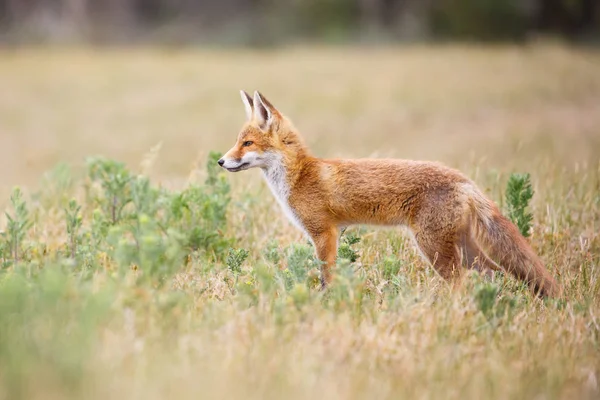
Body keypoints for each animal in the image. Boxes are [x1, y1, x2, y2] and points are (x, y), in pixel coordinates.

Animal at [218, 90, 560, 296]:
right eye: (238, 142)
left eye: (246, 143)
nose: (221, 161)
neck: (301, 175)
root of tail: (463, 179)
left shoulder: (324, 233)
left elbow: (327, 275)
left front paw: (326, 302)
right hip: (463, 247)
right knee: (494, 273)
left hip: (434, 248)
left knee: (462, 284)